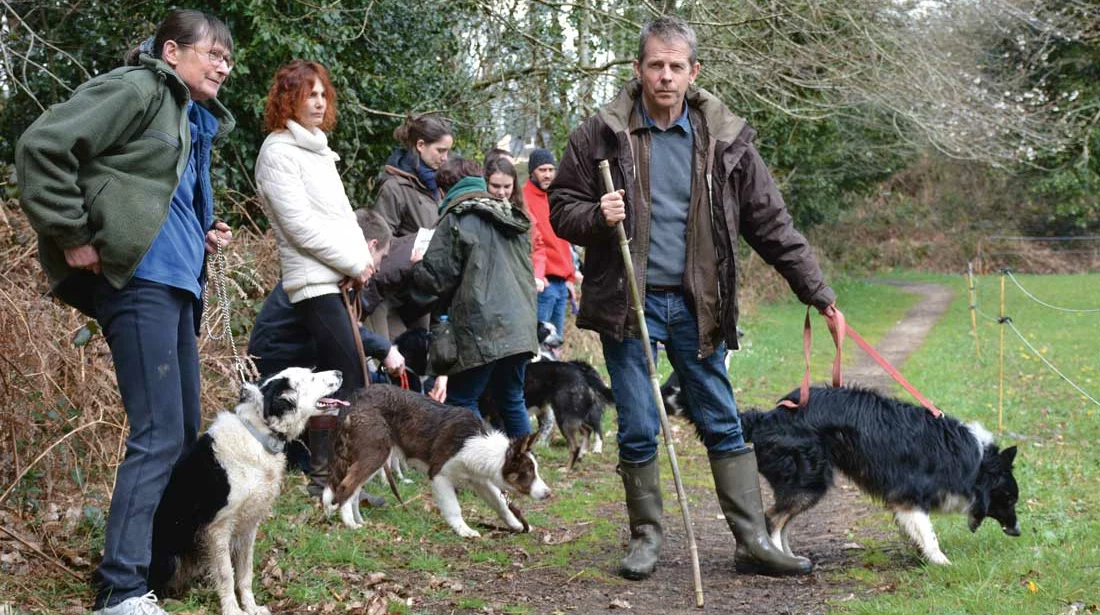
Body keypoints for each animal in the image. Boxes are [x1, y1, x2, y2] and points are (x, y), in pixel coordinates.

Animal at [148, 367, 341, 615]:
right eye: (311, 377)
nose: (339, 372)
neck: (259, 437)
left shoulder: (249, 526)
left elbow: (244, 573)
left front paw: (251, 606)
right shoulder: (218, 528)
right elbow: (226, 575)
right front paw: (232, 610)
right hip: (168, 558)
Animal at [323, 385, 550, 539]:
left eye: (535, 470)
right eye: (529, 471)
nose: (549, 494)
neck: (478, 444)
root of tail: (353, 400)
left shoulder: (480, 481)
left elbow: (500, 504)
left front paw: (516, 525)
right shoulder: (439, 475)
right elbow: (453, 508)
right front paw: (464, 530)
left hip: (370, 457)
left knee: (352, 492)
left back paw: (356, 519)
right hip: (375, 453)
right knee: (345, 487)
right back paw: (349, 523)